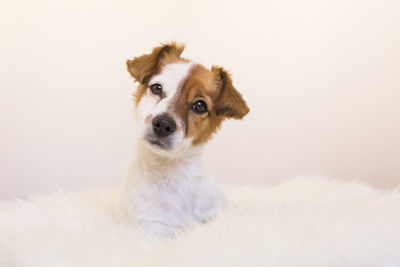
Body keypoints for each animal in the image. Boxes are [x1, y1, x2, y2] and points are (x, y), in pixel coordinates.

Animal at [120, 41, 248, 237]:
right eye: (157, 88)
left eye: (200, 105)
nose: (163, 124)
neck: (175, 174)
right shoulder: (155, 229)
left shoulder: (222, 212)